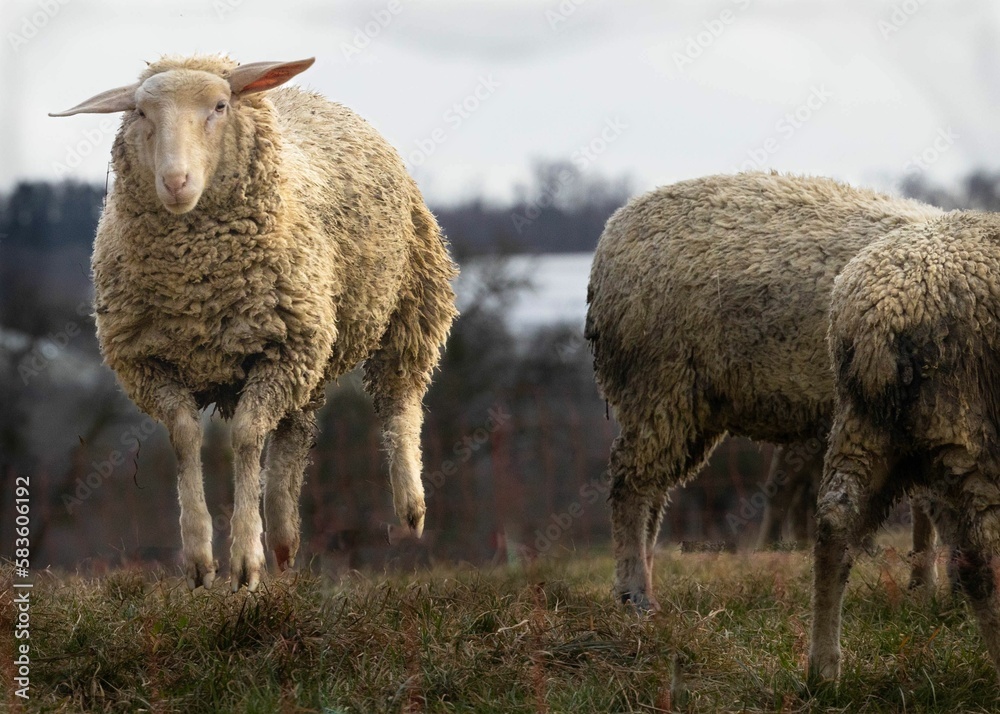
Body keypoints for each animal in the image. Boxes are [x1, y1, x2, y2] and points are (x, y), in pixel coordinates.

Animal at [50, 55, 458, 592]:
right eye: (139, 113)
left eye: (220, 107)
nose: (175, 181)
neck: (197, 285)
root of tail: (302, 92)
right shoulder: (148, 362)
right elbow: (185, 436)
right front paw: (201, 558)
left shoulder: (280, 351)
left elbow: (246, 437)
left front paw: (245, 559)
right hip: (314, 349)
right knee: (294, 436)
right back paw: (284, 538)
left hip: (411, 296)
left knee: (400, 399)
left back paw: (410, 506)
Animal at [585, 172, 945, 610]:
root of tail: (610, 237)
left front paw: (924, 586)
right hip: (658, 385)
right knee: (630, 483)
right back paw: (634, 595)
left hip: (686, 404)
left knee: (655, 490)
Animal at [811, 211, 1000, 680]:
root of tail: (882, 315)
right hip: (960, 421)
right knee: (984, 553)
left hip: (861, 430)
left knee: (834, 523)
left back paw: (823, 671)